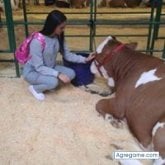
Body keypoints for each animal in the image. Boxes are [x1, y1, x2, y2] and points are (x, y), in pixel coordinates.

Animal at [90, 36, 165, 165]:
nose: (89, 63)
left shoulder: (119, 105)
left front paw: (112, 119)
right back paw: (120, 145)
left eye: (96, 55)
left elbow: (99, 103)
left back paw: (117, 152)